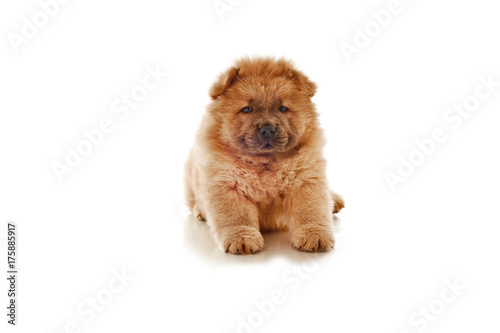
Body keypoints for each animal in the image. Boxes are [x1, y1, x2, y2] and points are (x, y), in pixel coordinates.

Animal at [184, 57, 344, 254]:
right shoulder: (227, 184)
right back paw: (201, 210)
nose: (267, 129)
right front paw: (242, 239)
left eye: (282, 108)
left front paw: (314, 236)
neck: (264, 163)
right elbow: (237, 217)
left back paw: (335, 201)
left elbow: (310, 211)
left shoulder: (307, 180)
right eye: (247, 109)